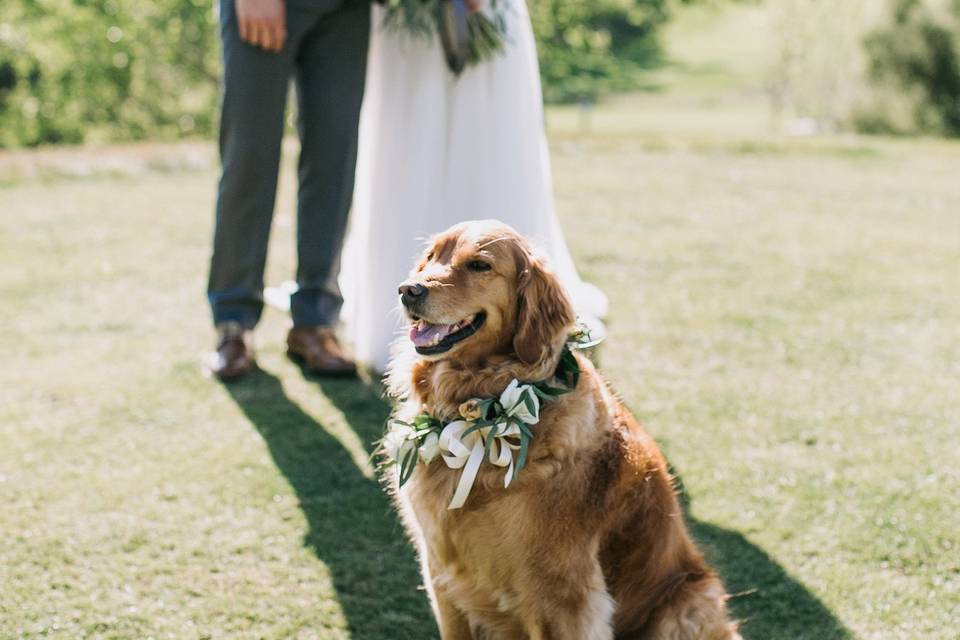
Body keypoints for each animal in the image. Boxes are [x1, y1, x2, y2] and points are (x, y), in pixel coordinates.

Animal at [384, 221, 744, 640]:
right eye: (431, 257)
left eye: (479, 265)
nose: (408, 290)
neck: (481, 408)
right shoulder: (442, 574)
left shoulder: (561, 595)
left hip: (688, 605)